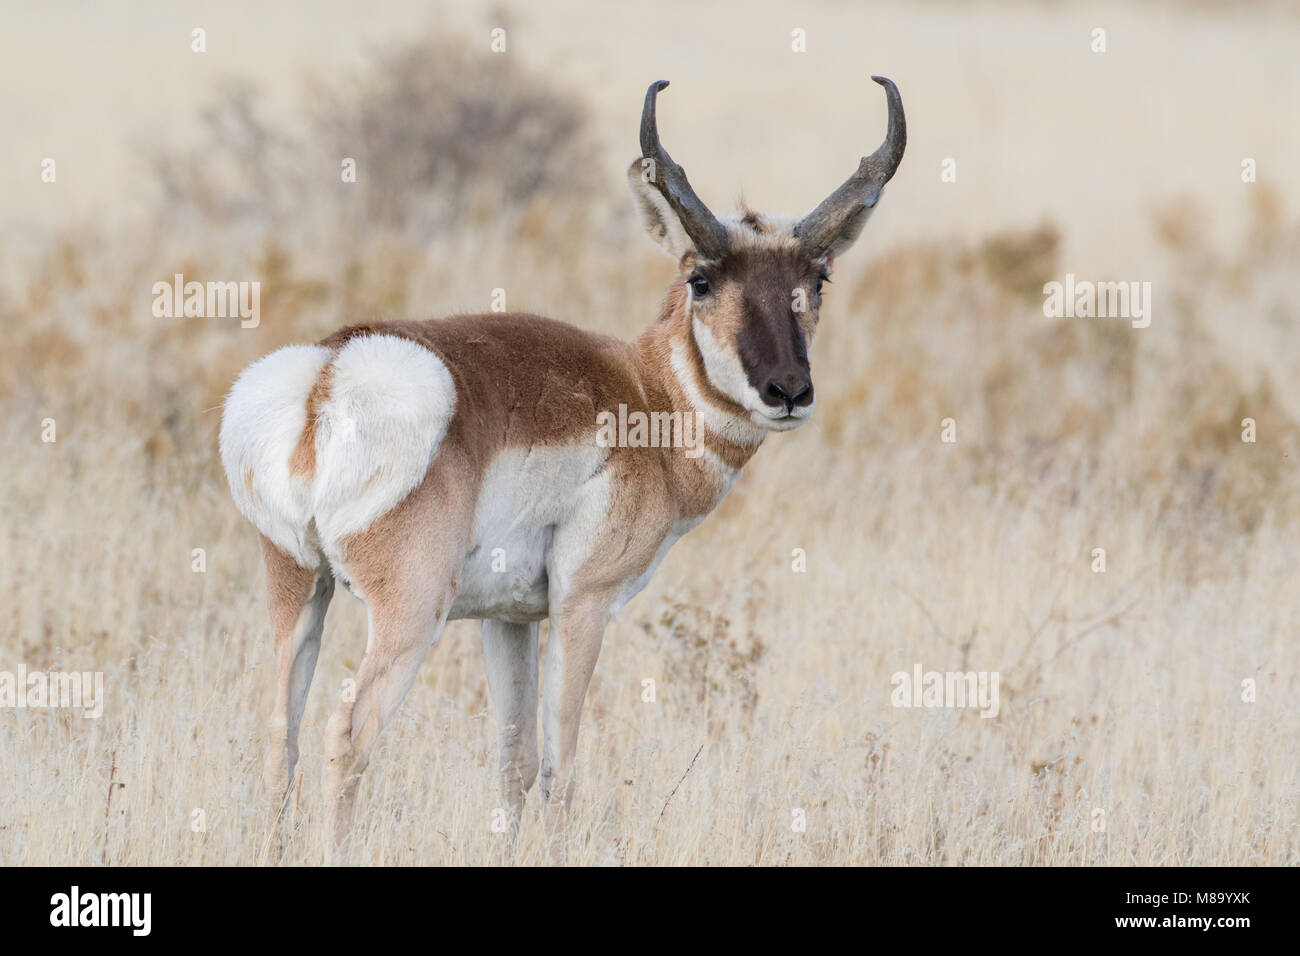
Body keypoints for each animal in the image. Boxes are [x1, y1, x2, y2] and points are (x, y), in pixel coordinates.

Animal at [220, 72, 904, 853]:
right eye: (700, 279)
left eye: (818, 279)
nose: (788, 391)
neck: (644, 391)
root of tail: (330, 374)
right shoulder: (584, 605)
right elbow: (560, 771)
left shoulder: (508, 619)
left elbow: (512, 765)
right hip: (409, 615)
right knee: (347, 734)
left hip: (298, 589)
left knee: (281, 739)